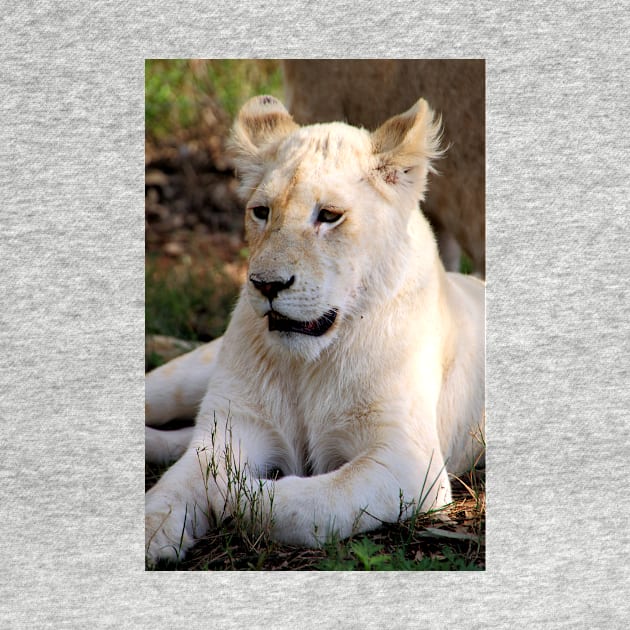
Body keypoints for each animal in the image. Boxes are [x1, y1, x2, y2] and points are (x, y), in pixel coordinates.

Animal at [146, 95, 486, 568]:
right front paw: (152, 528)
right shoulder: (236, 422)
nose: (266, 285)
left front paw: (233, 494)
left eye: (329, 216)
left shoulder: (408, 461)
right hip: (190, 374)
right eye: (261, 212)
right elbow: (177, 485)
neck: (307, 363)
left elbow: (307, 503)